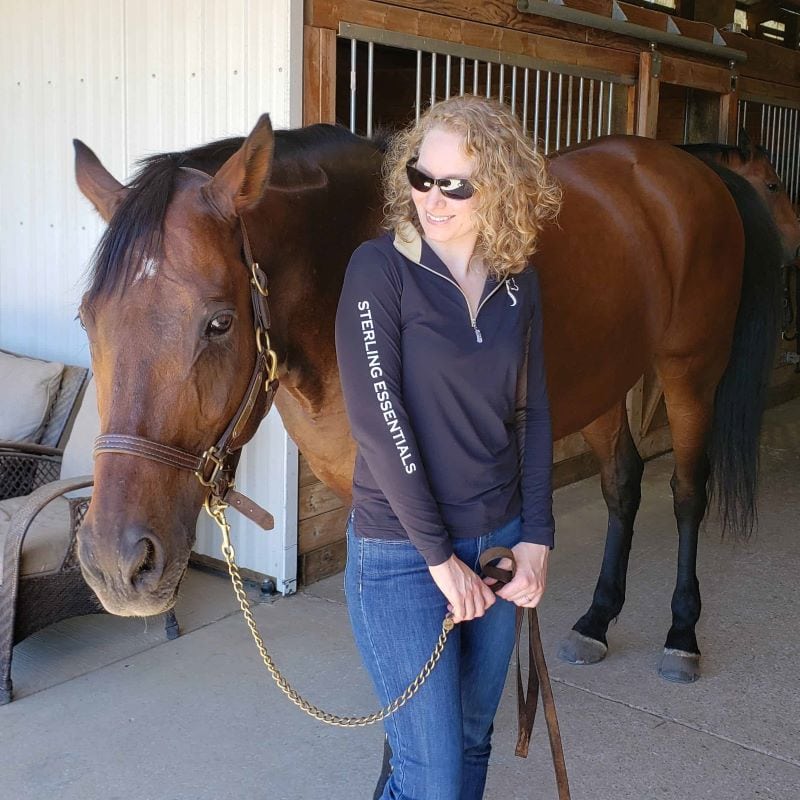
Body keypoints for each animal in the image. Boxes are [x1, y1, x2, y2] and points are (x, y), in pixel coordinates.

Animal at [72, 115, 796, 684]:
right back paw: (595, 620)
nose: (115, 563)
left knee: (687, 493)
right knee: (623, 483)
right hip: (603, 384)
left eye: (220, 323)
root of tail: (688, 167)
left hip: (690, 370)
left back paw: (681, 634)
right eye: (88, 319)